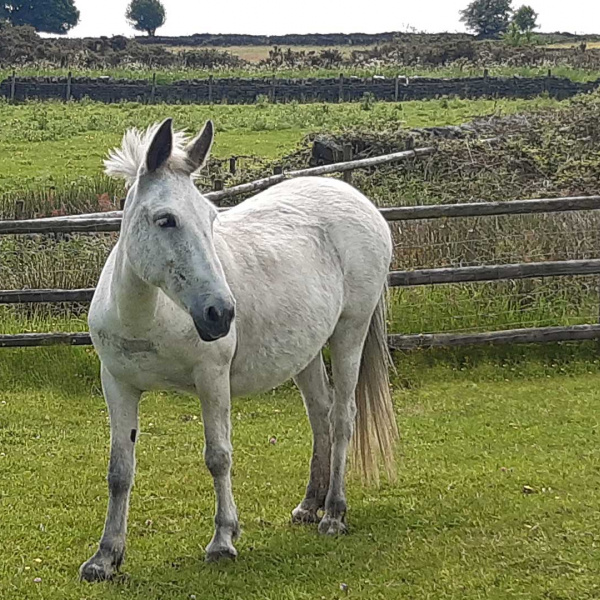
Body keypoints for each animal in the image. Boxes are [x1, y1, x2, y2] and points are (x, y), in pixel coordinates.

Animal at [79, 118, 398, 580]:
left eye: (212, 218)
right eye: (165, 219)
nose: (221, 313)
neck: (147, 317)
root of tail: (358, 201)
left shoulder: (212, 379)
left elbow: (218, 456)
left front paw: (223, 540)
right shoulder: (117, 385)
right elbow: (119, 471)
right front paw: (105, 557)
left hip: (349, 334)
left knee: (342, 419)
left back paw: (335, 513)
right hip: (306, 353)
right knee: (320, 416)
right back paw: (310, 505)